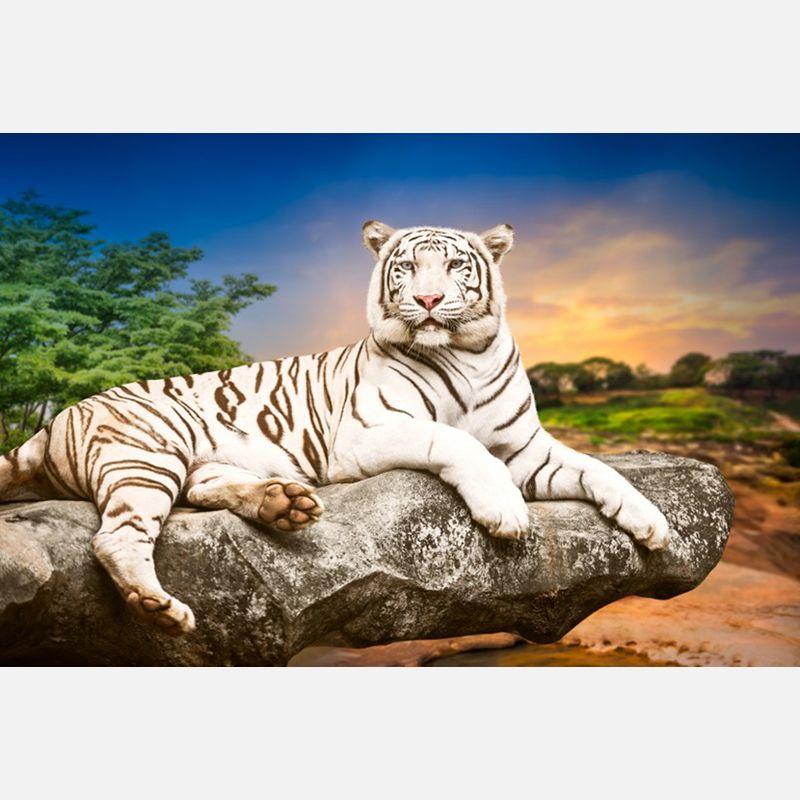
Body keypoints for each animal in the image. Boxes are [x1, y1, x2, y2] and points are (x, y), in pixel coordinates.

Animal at [0, 220, 670, 636]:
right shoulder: (370, 430)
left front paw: (654, 525)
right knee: (116, 537)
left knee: (202, 488)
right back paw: (160, 607)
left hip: (191, 462)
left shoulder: (527, 449)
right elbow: (455, 440)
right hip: (148, 452)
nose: (429, 301)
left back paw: (282, 504)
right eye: (406, 268)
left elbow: (599, 470)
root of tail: (60, 415)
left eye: (455, 265)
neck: (469, 352)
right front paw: (505, 512)